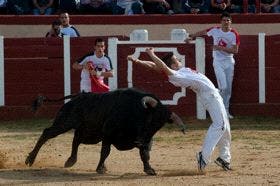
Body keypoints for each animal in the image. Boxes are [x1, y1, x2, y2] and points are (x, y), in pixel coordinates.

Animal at [25, 88, 180, 175]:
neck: (134, 111)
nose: (140, 141)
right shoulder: (108, 134)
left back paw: (71, 160)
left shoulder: (145, 140)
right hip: (65, 123)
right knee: (47, 133)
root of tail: (78, 96)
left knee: (76, 140)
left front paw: (149, 170)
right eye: (149, 119)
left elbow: (145, 155)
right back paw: (30, 159)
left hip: (90, 133)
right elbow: (105, 151)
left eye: (159, 126)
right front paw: (100, 168)